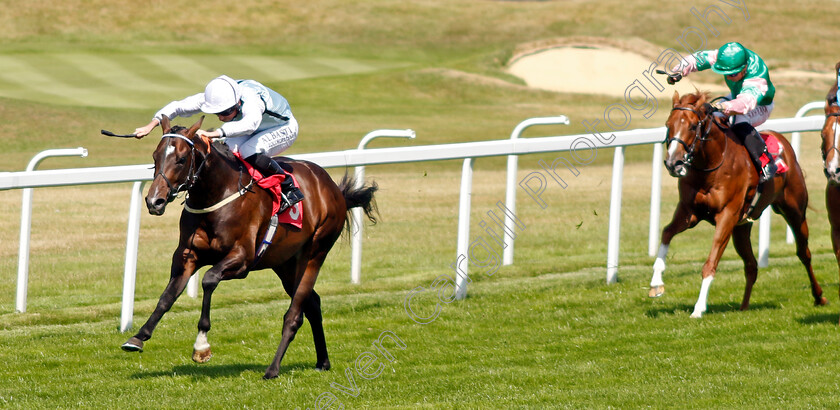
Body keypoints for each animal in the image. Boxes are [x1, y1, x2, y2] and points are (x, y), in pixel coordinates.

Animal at [120, 115, 378, 378]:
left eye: (181, 159)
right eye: (155, 156)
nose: (154, 201)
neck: (216, 194)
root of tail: (334, 190)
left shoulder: (242, 259)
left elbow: (209, 280)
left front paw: (201, 345)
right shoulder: (187, 256)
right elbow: (167, 296)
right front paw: (138, 337)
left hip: (316, 252)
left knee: (295, 314)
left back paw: (273, 369)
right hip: (285, 263)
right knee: (313, 303)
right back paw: (322, 361)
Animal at [648, 92, 828, 318]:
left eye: (692, 126)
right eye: (668, 125)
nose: (673, 163)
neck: (710, 166)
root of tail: (784, 144)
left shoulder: (727, 215)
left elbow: (711, 261)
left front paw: (699, 308)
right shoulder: (689, 212)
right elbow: (666, 232)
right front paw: (656, 283)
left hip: (795, 212)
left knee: (804, 253)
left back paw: (819, 296)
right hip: (741, 228)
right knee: (751, 265)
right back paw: (744, 306)